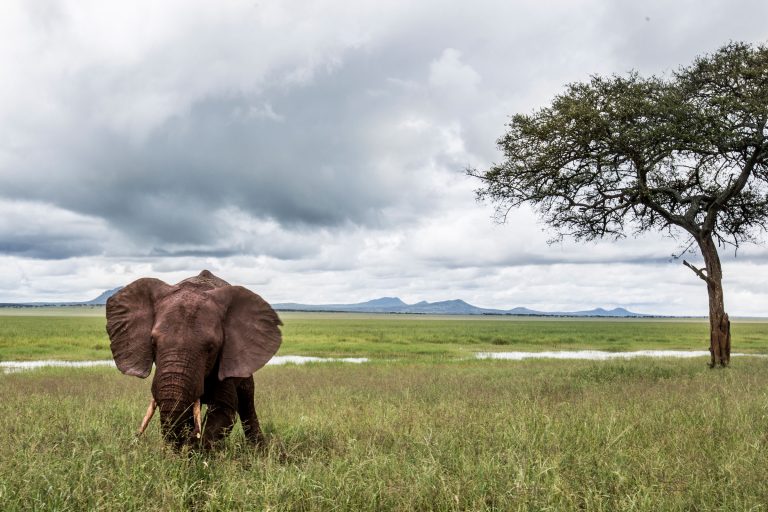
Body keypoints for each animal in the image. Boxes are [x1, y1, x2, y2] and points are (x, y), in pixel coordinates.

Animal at [103, 270, 280, 450]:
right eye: (153, 343)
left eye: (211, 347)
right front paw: (187, 448)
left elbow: (224, 409)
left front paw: (196, 449)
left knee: (247, 400)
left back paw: (258, 450)